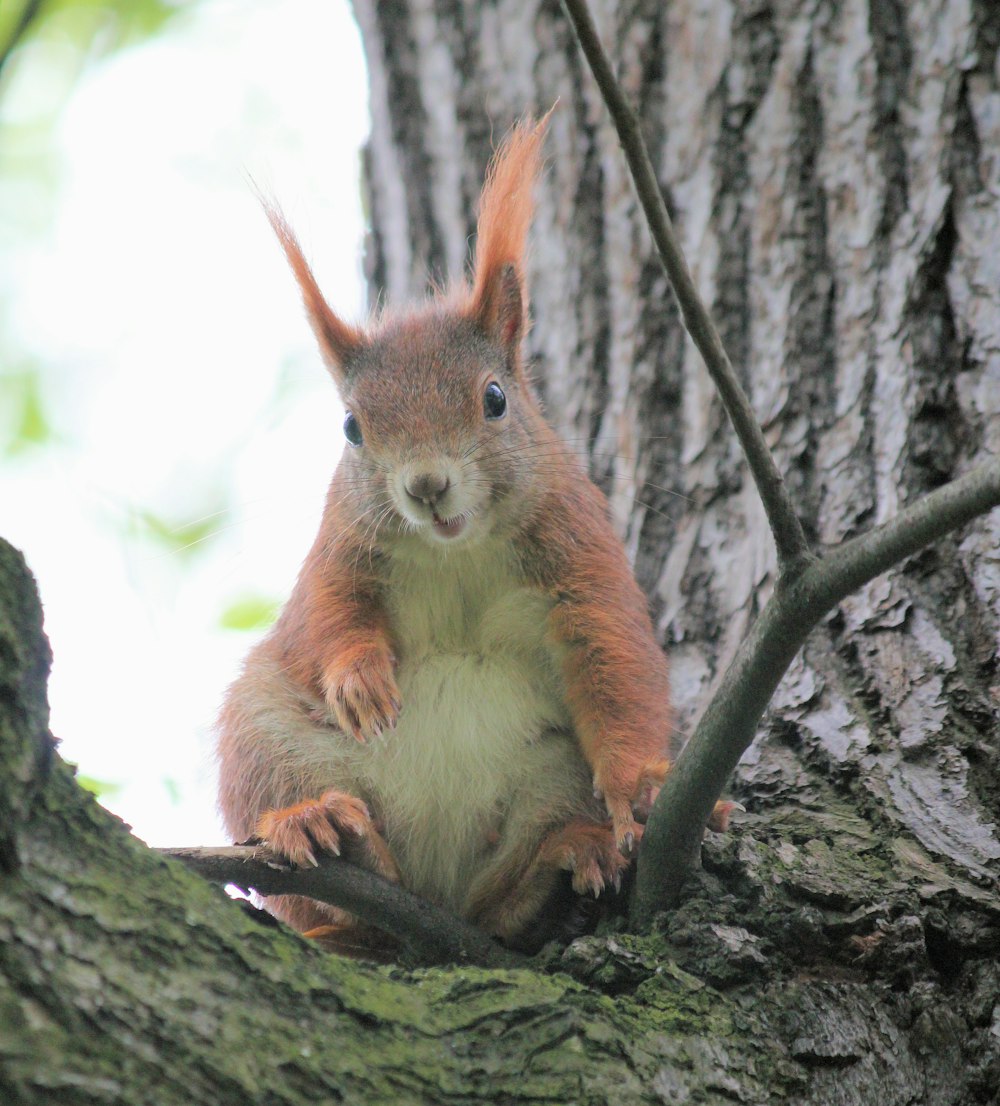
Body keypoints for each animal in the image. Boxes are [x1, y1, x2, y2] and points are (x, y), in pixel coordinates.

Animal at [216, 118, 685, 951]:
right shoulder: (338, 549)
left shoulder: (580, 553)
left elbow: (616, 660)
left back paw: (563, 859)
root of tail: (429, 896)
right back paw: (325, 829)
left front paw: (638, 788)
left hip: (548, 780)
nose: (426, 486)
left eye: (495, 398)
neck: (457, 550)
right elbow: (326, 618)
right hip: (264, 735)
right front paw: (359, 680)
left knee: (498, 904)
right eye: (351, 427)